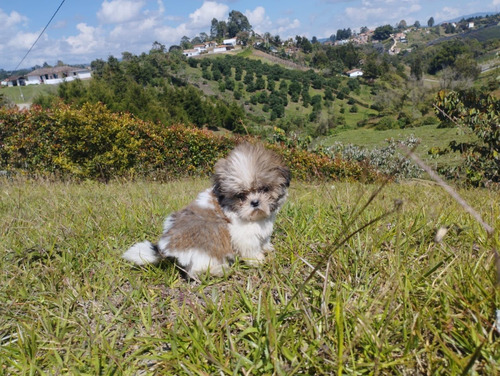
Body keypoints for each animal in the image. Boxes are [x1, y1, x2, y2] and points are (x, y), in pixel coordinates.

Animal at [121, 142, 292, 278]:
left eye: (264, 189)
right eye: (241, 196)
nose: (255, 202)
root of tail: (167, 246)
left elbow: (263, 239)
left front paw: (267, 247)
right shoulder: (242, 234)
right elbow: (250, 248)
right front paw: (258, 260)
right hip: (207, 244)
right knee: (195, 270)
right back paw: (218, 270)